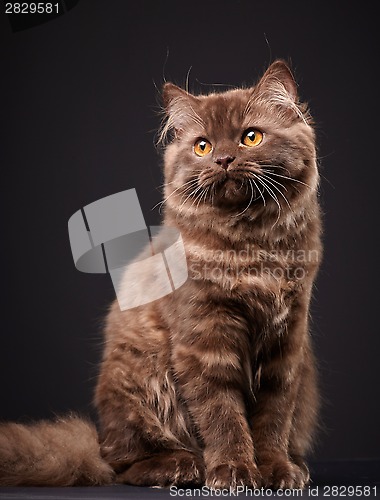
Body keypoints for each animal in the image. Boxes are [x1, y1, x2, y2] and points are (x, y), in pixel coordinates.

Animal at [0, 60, 320, 490]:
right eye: (203, 146)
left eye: (250, 137)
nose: (223, 159)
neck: (251, 247)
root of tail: (99, 436)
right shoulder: (204, 339)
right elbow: (224, 416)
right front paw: (234, 471)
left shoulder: (286, 344)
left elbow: (274, 418)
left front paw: (276, 470)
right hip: (139, 378)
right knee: (120, 464)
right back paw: (184, 466)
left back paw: (293, 464)